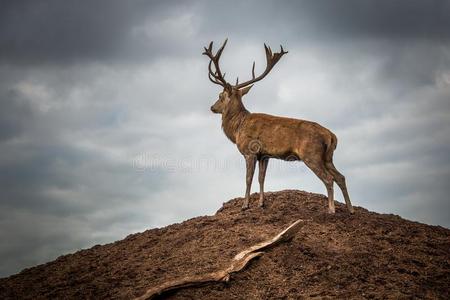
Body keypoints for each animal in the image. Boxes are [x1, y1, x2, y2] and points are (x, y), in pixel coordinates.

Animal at [204, 39, 356, 213]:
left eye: (220, 96)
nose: (212, 107)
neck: (237, 128)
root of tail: (331, 136)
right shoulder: (264, 155)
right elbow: (261, 178)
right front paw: (261, 203)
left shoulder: (249, 151)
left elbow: (248, 178)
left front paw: (245, 205)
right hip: (328, 156)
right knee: (341, 177)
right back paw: (351, 209)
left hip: (312, 154)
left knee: (329, 178)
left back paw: (331, 209)